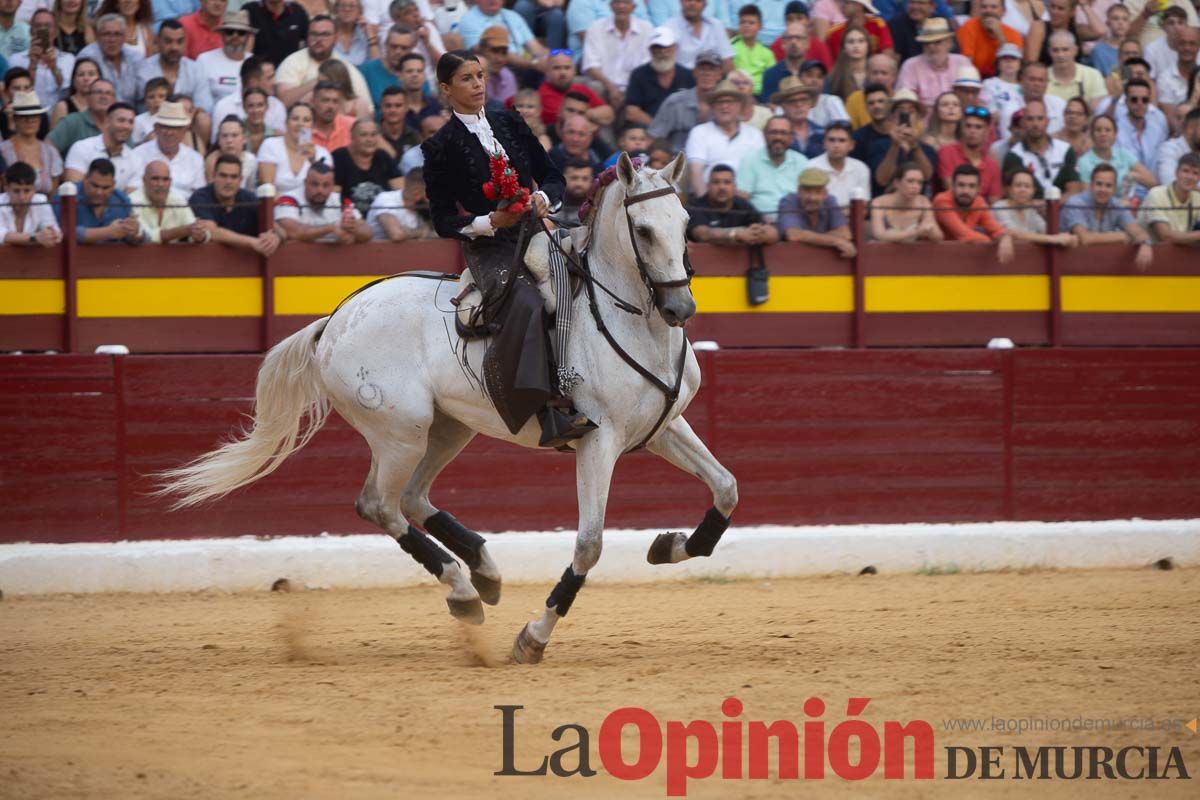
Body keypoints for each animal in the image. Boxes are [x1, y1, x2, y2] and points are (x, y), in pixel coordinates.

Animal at [157, 154, 739, 662]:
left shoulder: (662, 427)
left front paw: (668, 547)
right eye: (642, 229)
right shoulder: (599, 440)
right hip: (400, 432)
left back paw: (484, 572)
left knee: (413, 498)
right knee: (380, 504)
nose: (680, 307)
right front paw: (532, 639)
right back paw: (462, 589)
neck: (628, 320)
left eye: (686, 222)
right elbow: (590, 545)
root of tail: (336, 319)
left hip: (449, 428)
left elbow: (726, 487)